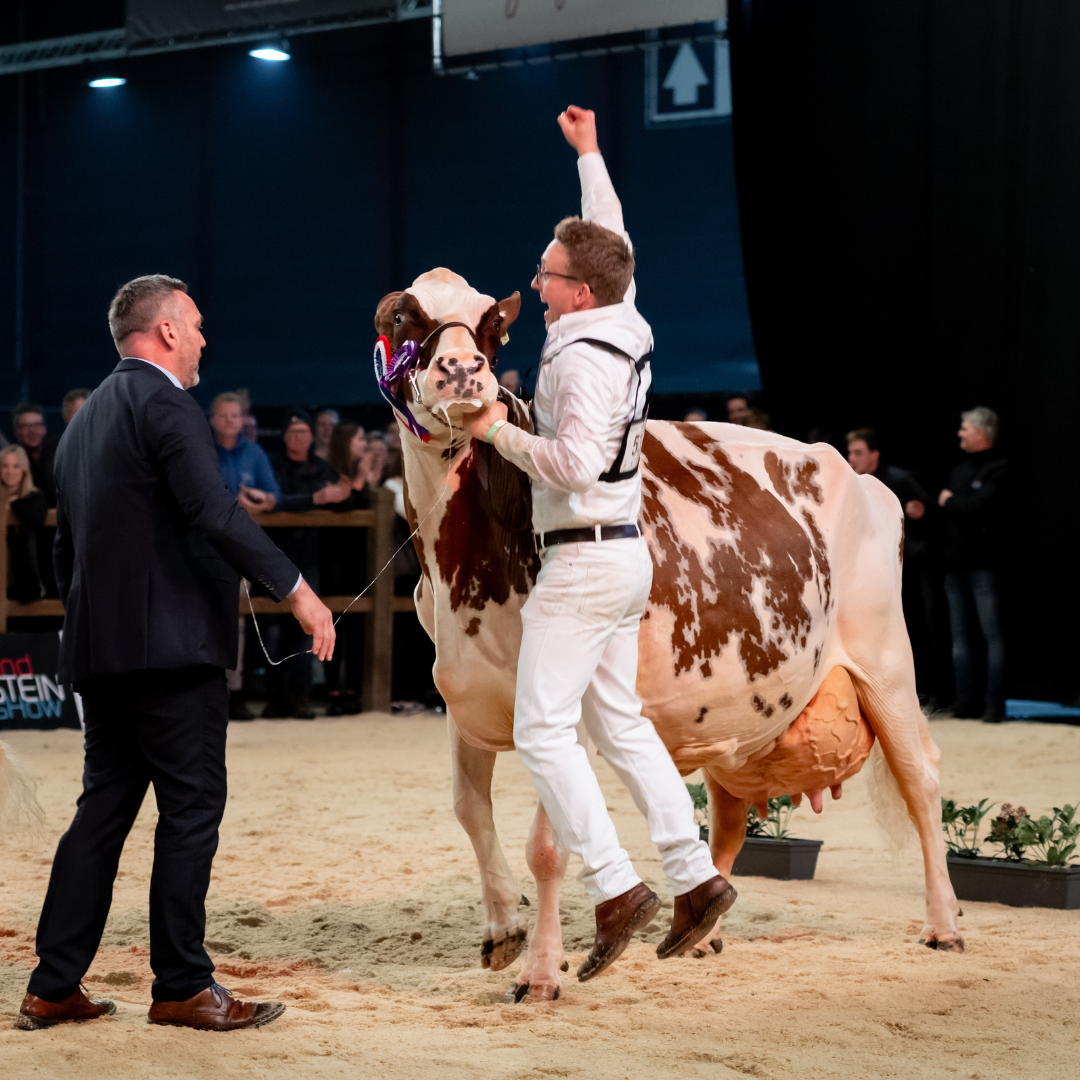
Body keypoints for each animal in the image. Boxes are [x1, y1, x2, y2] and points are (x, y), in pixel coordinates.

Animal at [373, 272, 963, 1002]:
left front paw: (541, 971)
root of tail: (854, 471)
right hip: (735, 717)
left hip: (886, 661)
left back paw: (943, 924)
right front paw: (503, 930)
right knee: (730, 817)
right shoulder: (462, 690)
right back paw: (701, 928)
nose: (462, 370)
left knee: (921, 780)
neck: (463, 566)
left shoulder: (563, 709)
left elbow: (550, 845)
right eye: (404, 317)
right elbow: (469, 812)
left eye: (493, 329)